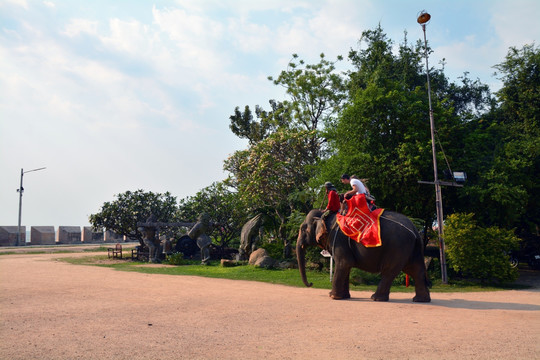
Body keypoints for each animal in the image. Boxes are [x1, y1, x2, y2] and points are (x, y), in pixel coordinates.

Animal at [296, 208, 430, 300]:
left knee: (389, 271)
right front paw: (344, 297)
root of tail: (414, 229)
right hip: (413, 249)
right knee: (416, 271)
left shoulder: (338, 239)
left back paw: (375, 298)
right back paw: (420, 300)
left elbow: (344, 263)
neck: (325, 216)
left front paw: (333, 296)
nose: (311, 284)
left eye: (303, 229)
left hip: (398, 247)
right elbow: (346, 266)